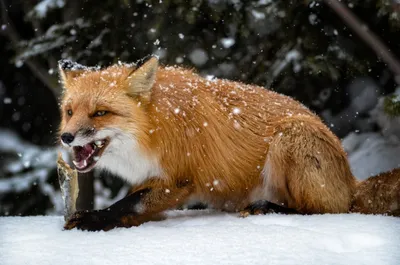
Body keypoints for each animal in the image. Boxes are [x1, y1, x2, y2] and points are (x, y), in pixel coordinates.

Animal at [57, 56, 398, 231]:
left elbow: (130, 202)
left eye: (100, 113)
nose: (66, 137)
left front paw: (95, 218)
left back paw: (268, 209)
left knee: (325, 211)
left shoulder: (180, 179)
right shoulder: (149, 177)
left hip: (291, 138)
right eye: (70, 112)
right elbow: (135, 204)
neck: (153, 129)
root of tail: (351, 180)